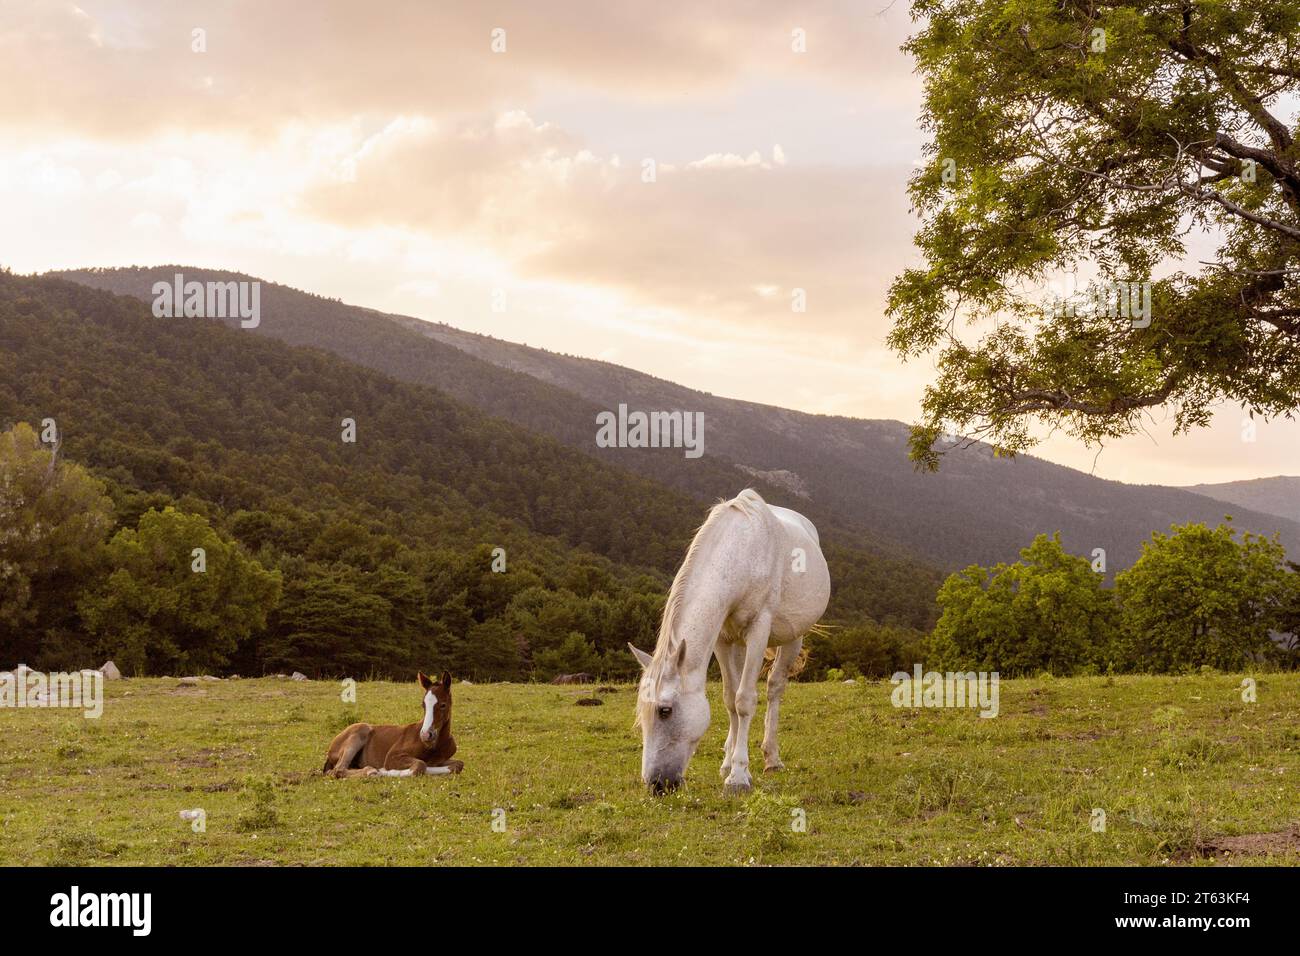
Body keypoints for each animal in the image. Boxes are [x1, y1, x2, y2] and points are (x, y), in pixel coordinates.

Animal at [322, 671, 464, 778]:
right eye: (423, 705)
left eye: (443, 705)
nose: (425, 735)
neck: (435, 746)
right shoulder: (392, 757)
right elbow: (420, 765)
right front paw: (384, 771)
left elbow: (458, 765)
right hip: (360, 732)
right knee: (338, 769)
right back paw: (371, 771)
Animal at [629, 488, 830, 795]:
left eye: (665, 711)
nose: (656, 785)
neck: (741, 552)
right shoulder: (722, 640)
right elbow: (729, 700)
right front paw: (729, 765)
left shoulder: (759, 629)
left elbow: (744, 700)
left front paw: (738, 777)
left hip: (793, 637)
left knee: (774, 688)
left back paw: (772, 758)